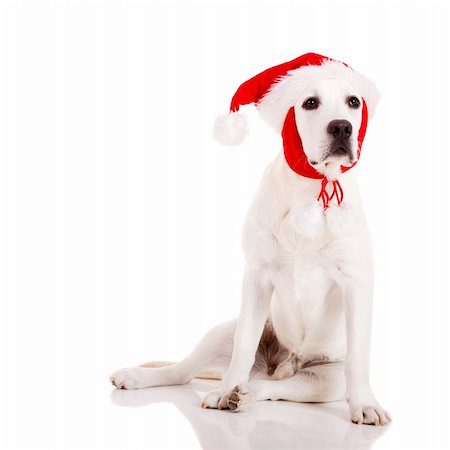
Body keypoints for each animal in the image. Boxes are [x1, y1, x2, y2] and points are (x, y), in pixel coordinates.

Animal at [110, 52, 392, 426]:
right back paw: (155, 378)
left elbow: (360, 355)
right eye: (310, 103)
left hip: (325, 379)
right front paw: (223, 391)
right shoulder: (256, 277)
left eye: (354, 102)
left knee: (274, 386)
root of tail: (281, 364)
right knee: (184, 371)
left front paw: (364, 404)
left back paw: (245, 394)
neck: (310, 187)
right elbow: (243, 346)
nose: (342, 126)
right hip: (221, 333)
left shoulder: (356, 282)